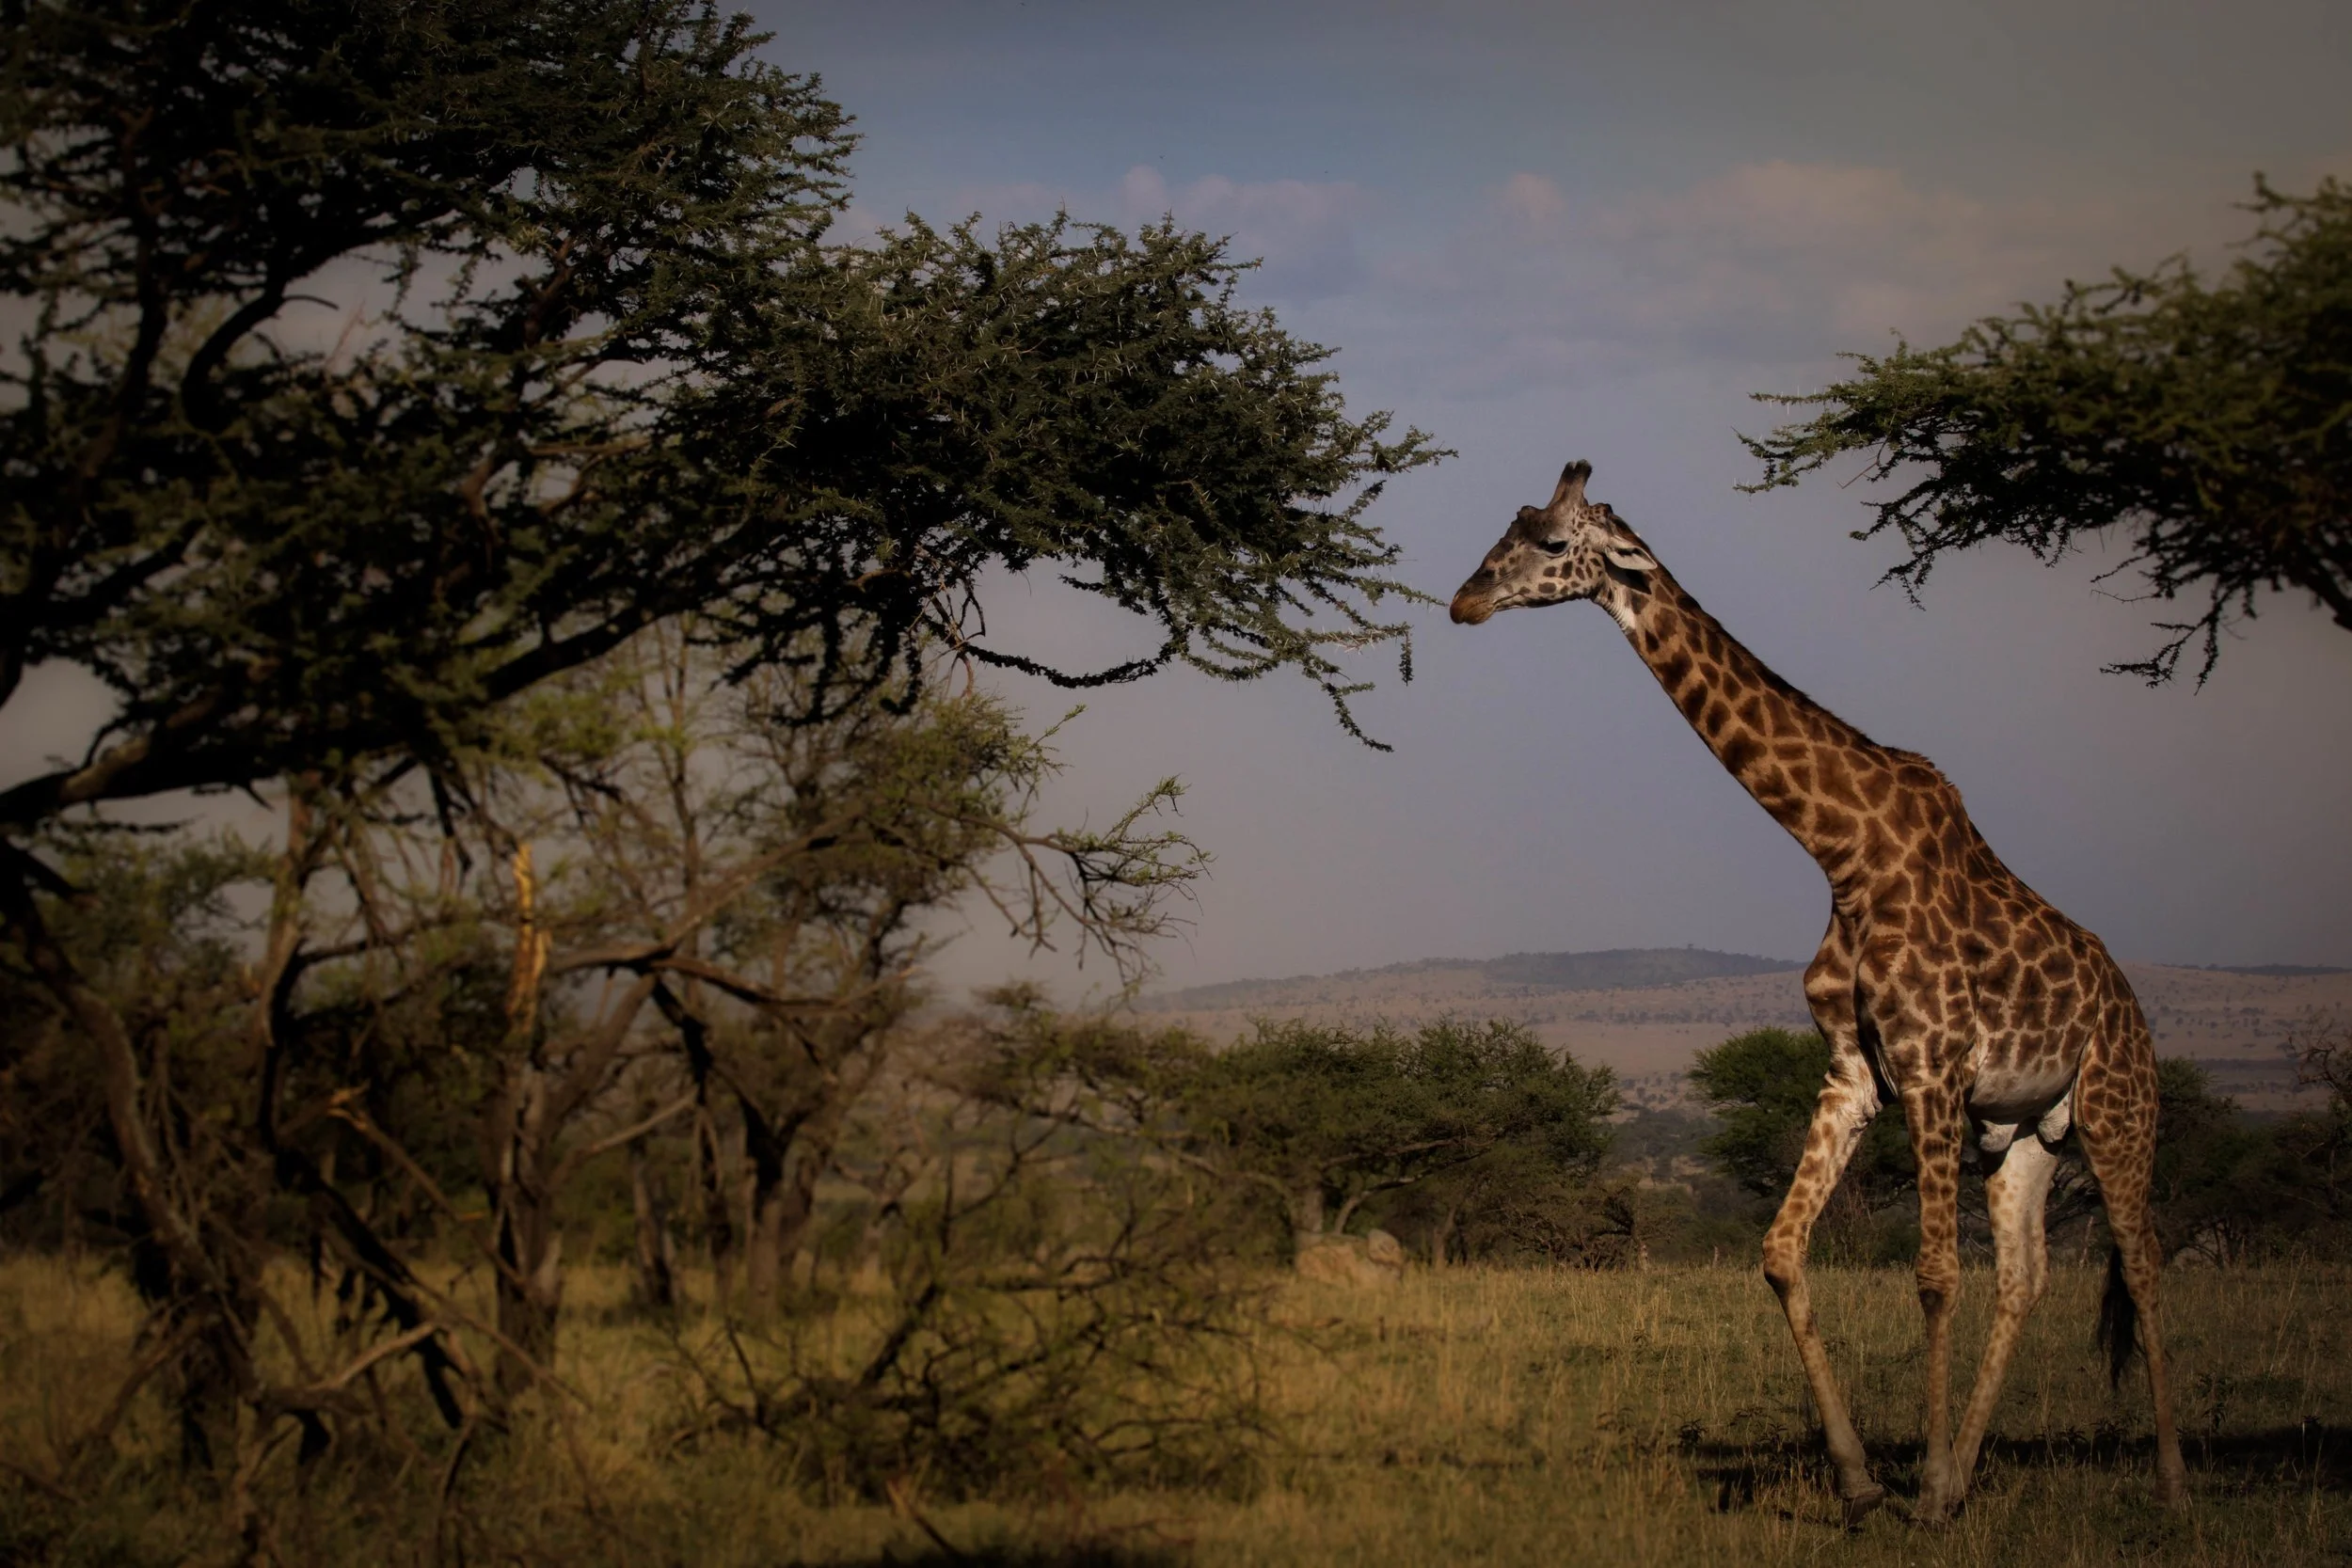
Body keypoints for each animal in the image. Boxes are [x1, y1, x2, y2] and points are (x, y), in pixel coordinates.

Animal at [1448, 459, 2187, 1525]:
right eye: (1508, 525)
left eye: (1549, 541)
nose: (1463, 600)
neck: (1841, 849)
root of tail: (2129, 1007)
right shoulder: (1855, 1072)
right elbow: (1781, 1250)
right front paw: (1862, 1480)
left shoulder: (1929, 1066)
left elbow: (1933, 1275)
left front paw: (1920, 1486)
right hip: (2023, 1129)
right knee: (2026, 1275)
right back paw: (1971, 1472)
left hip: (2117, 1110)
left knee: (2140, 1262)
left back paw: (2165, 1484)